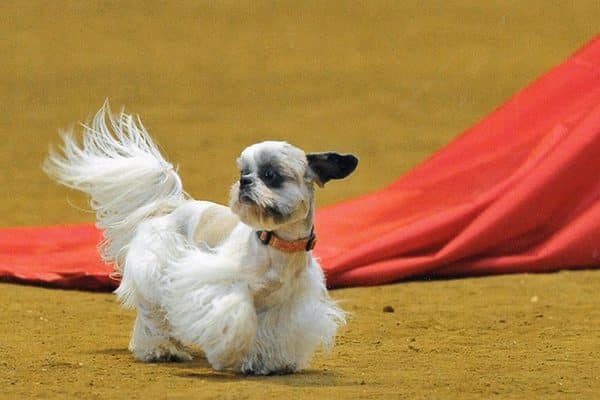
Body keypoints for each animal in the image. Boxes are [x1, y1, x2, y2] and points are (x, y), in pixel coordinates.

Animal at [45, 104, 360, 376]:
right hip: (157, 273)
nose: (244, 181)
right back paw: (160, 349)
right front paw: (229, 355)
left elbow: (273, 332)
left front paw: (266, 363)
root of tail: (169, 206)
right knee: (152, 316)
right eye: (243, 171)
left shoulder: (285, 305)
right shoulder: (221, 285)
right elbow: (236, 319)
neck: (274, 243)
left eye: (270, 174)